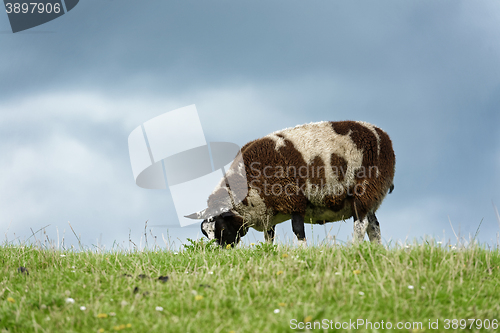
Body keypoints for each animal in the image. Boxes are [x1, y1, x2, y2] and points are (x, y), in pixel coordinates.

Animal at [186, 120, 396, 245]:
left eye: (222, 228)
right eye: (205, 233)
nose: (219, 253)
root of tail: (383, 136)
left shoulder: (294, 200)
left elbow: (298, 230)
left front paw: (302, 251)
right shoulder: (267, 212)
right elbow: (269, 237)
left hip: (364, 189)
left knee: (361, 224)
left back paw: (355, 247)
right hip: (371, 196)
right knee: (374, 226)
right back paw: (375, 251)